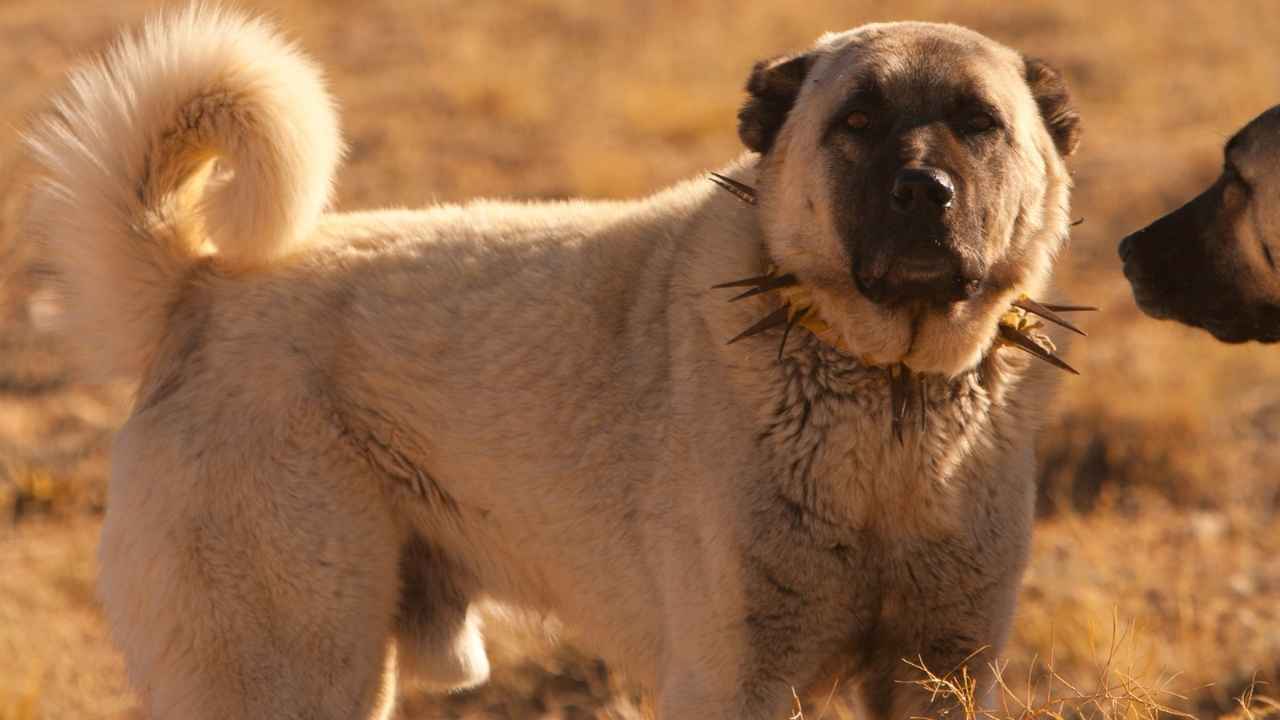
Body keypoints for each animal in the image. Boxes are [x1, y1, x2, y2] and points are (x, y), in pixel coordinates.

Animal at [22, 7, 1080, 717]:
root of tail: (195, 288)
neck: (888, 395)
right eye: (855, 122)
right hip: (289, 666)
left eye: (978, 123)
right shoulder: (737, 674)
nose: (924, 190)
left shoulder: (942, 665)